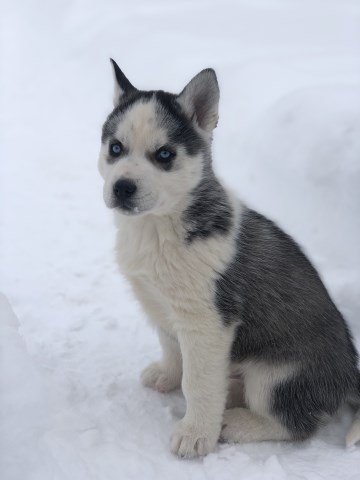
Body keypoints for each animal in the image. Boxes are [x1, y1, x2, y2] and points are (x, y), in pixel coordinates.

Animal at [98, 60, 360, 458]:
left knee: (296, 423)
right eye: (115, 148)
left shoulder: (209, 322)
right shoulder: (163, 308)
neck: (157, 228)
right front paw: (167, 375)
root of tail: (351, 374)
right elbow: (173, 348)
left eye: (164, 154)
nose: (122, 187)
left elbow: (198, 382)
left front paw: (196, 434)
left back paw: (236, 421)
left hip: (277, 376)